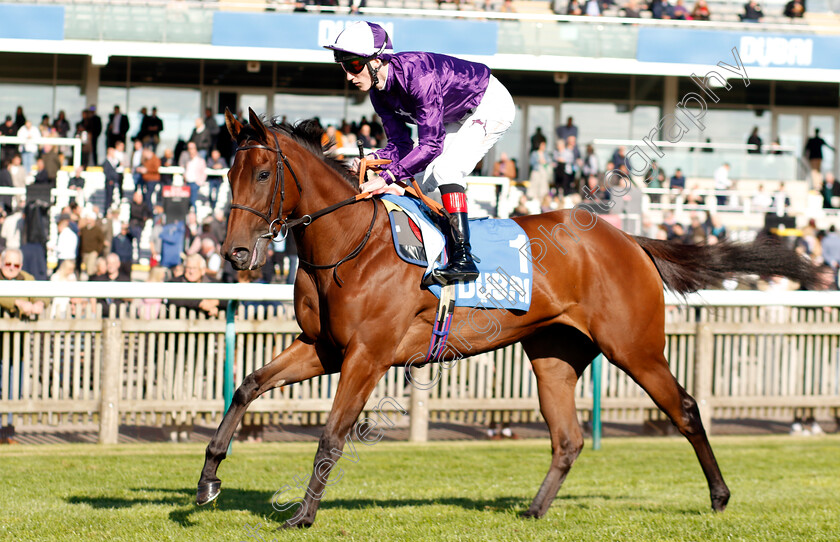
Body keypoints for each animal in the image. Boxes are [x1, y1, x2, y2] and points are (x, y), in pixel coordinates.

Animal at [195, 108, 812, 528]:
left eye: (263, 174)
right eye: (226, 174)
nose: (236, 254)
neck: (351, 243)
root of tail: (629, 239)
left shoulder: (367, 356)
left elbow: (331, 435)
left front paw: (302, 515)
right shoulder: (322, 348)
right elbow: (248, 386)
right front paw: (207, 481)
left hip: (634, 347)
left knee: (684, 408)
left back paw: (720, 496)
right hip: (554, 356)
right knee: (567, 438)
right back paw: (535, 510)